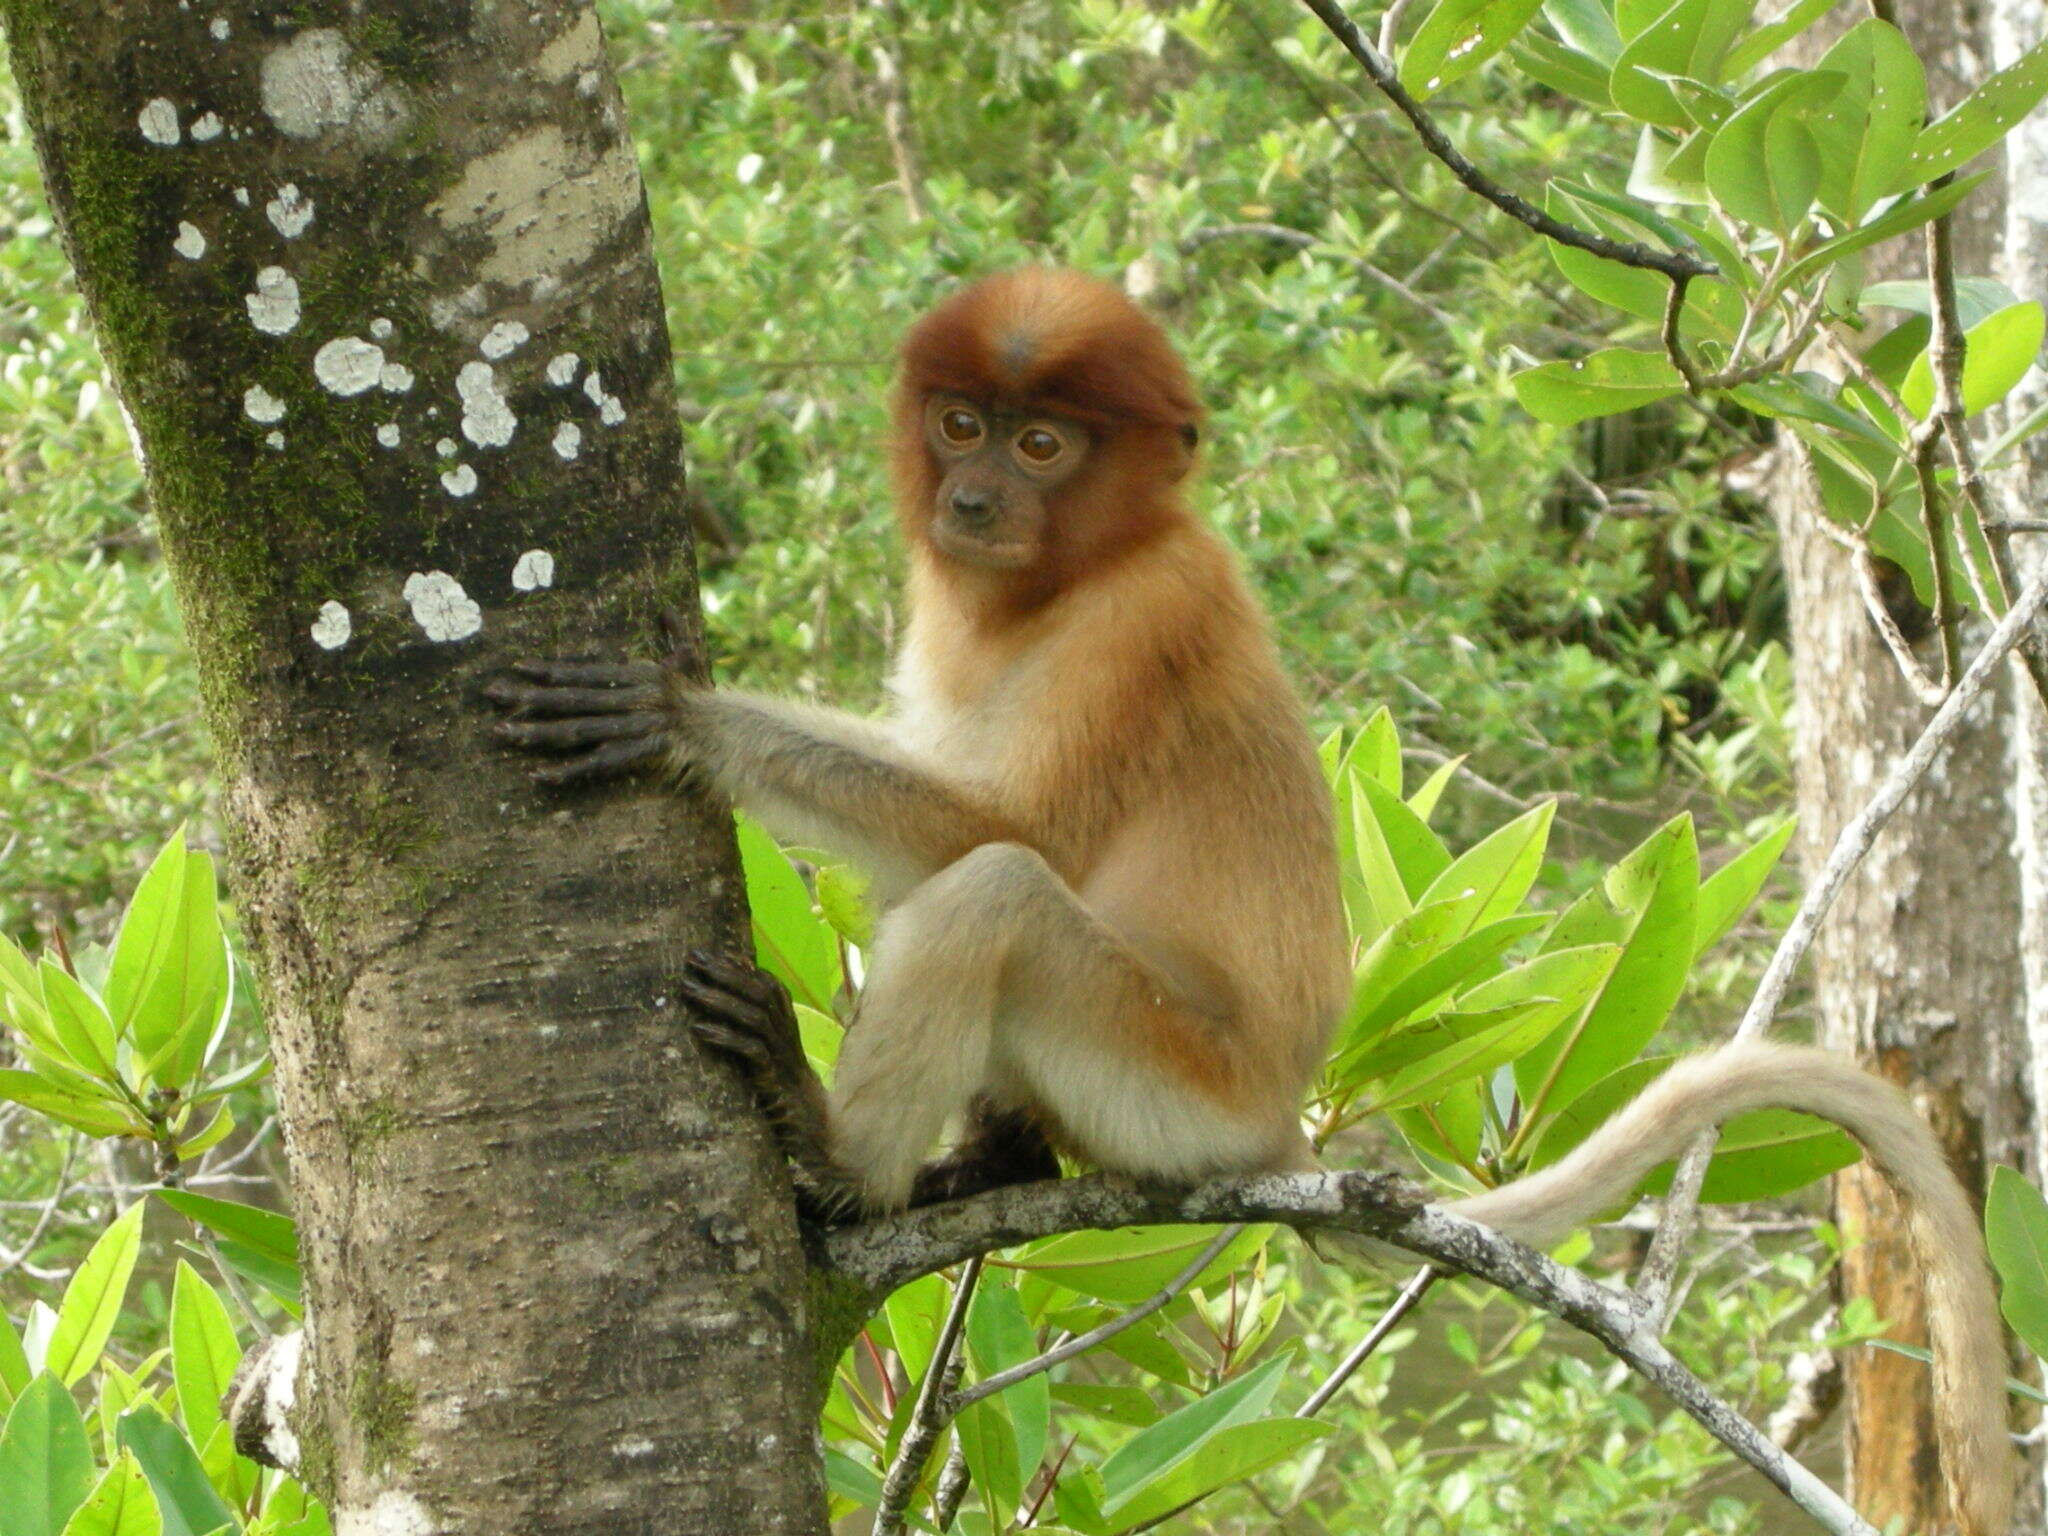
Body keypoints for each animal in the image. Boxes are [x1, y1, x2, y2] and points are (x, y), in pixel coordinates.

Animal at [487, 270, 2007, 1531]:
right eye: (963, 423)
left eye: (1044, 446)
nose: (970, 504)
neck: (1075, 570)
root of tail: (1283, 1114)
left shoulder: (1146, 610)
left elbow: (992, 831)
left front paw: (676, 716)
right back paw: (990, 1159)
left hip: (1168, 1084)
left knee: (998, 896)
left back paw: (841, 1160)